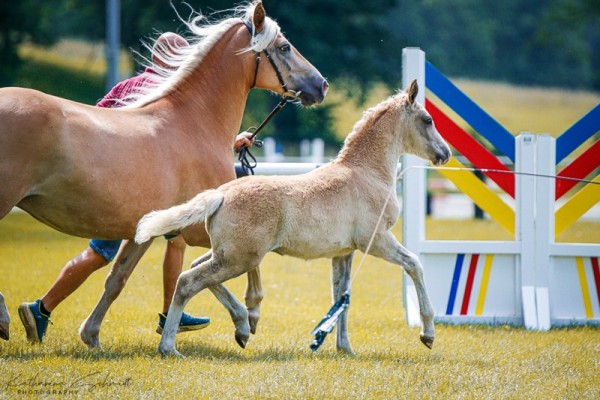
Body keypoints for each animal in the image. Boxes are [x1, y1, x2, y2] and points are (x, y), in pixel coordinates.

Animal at [0, 1, 328, 346]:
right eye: (284, 47)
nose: (321, 85)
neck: (193, 121)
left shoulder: (144, 229)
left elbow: (117, 279)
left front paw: (91, 335)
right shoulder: (200, 226)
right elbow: (223, 266)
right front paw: (247, 315)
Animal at [134, 80, 448, 356]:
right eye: (428, 119)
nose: (444, 153)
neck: (366, 174)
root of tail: (219, 194)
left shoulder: (343, 253)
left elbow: (342, 298)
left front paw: (345, 348)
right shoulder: (377, 240)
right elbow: (414, 264)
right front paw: (428, 334)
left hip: (226, 255)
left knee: (197, 270)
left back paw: (243, 327)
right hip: (239, 259)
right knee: (187, 281)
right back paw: (170, 347)